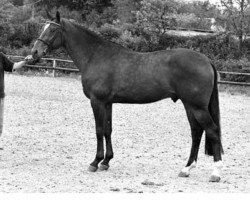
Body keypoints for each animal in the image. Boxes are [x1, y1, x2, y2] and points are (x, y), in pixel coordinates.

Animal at [31, 11, 225, 182]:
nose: (34, 52)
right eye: (43, 27)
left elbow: (99, 130)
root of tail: (206, 60)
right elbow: (108, 130)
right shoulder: (107, 103)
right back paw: (186, 169)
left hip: (197, 107)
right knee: (197, 132)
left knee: (212, 130)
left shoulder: (97, 102)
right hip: (189, 105)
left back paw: (215, 173)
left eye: (52, 30)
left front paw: (95, 162)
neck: (96, 56)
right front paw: (106, 161)